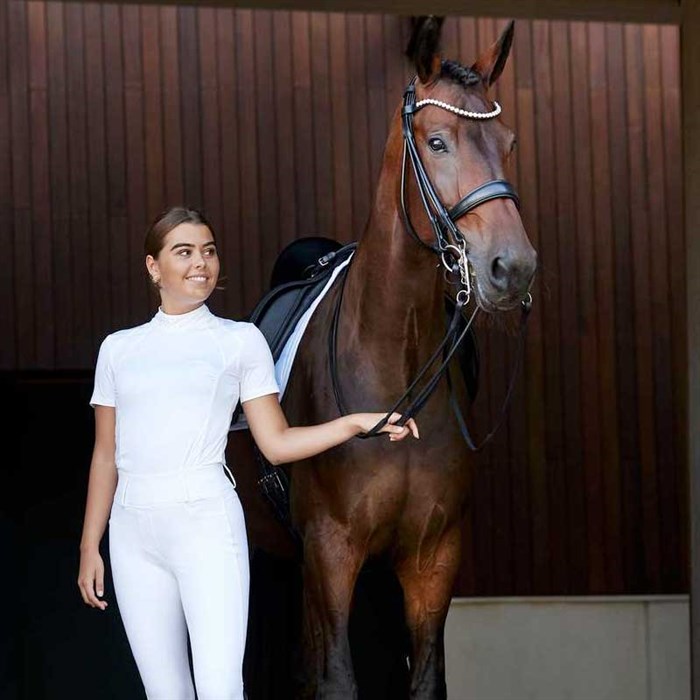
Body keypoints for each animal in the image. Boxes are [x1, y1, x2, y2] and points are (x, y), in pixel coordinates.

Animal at [278, 17, 536, 700]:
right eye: (438, 142)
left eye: (508, 143)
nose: (514, 268)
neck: (393, 358)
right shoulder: (331, 551)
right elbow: (338, 680)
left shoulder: (432, 557)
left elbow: (425, 680)